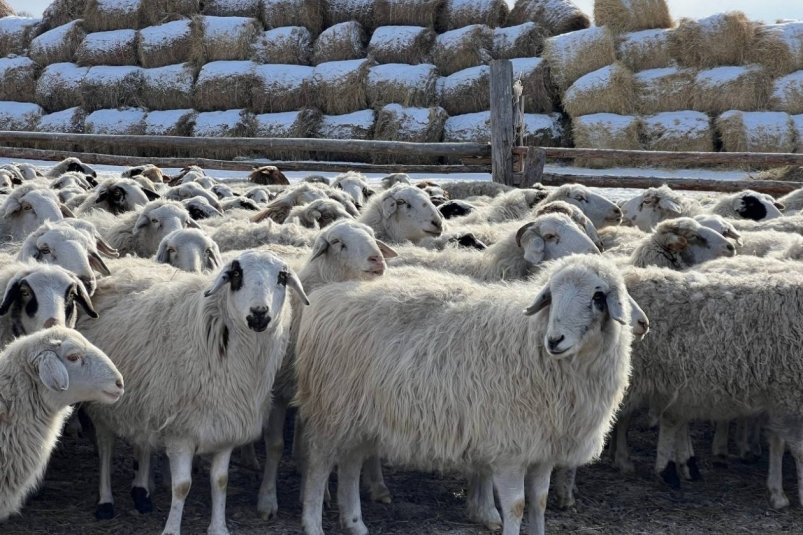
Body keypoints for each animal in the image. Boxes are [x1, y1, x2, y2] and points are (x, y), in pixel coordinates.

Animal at [80, 250, 309, 533]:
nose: (259, 314)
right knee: (105, 448)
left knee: (142, 442)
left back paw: (142, 492)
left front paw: (219, 527)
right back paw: (106, 501)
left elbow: (221, 481)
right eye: (236, 275)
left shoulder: (225, 427)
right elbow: (182, 486)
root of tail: (124, 263)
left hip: (145, 398)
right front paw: (171, 529)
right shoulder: (181, 432)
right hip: (104, 403)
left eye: (282, 278)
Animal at [257, 220, 398, 519]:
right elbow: (275, 446)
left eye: (373, 236)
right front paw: (267, 500)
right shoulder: (279, 390)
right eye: (337, 243)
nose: (377, 259)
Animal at [296, 255, 639, 535]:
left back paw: (355, 524)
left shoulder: (543, 448)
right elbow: (516, 505)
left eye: (598, 297)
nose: (555, 340)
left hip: (359, 416)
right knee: (318, 466)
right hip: (331, 409)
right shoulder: (510, 447)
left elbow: (539, 502)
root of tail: (328, 295)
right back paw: (313, 524)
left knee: (351, 464)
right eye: (551, 295)